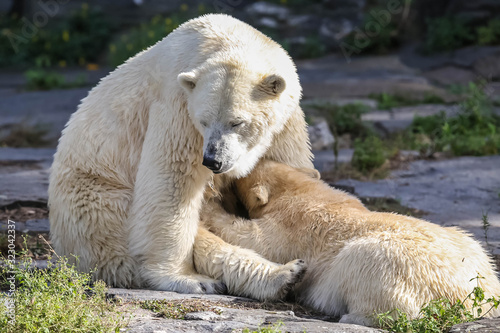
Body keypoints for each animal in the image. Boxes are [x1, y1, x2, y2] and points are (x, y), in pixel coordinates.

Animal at [47, 13, 312, 298]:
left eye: (237, 122)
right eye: (203, 121)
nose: (213, 160)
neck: (224, 37)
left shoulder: (286, 121)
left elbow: (289, 165)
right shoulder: (178, 105)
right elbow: (172, 181)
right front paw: (184, 278)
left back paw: (287, 273)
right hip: (99, 206)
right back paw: (272, 276)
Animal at [201, 160, 500, 326]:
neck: (304, 192)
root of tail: (475, 299)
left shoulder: (289, 227)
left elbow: (252, 238)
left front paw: (209, 207)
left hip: (391, 262)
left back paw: (353, 317)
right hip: (471, 244)